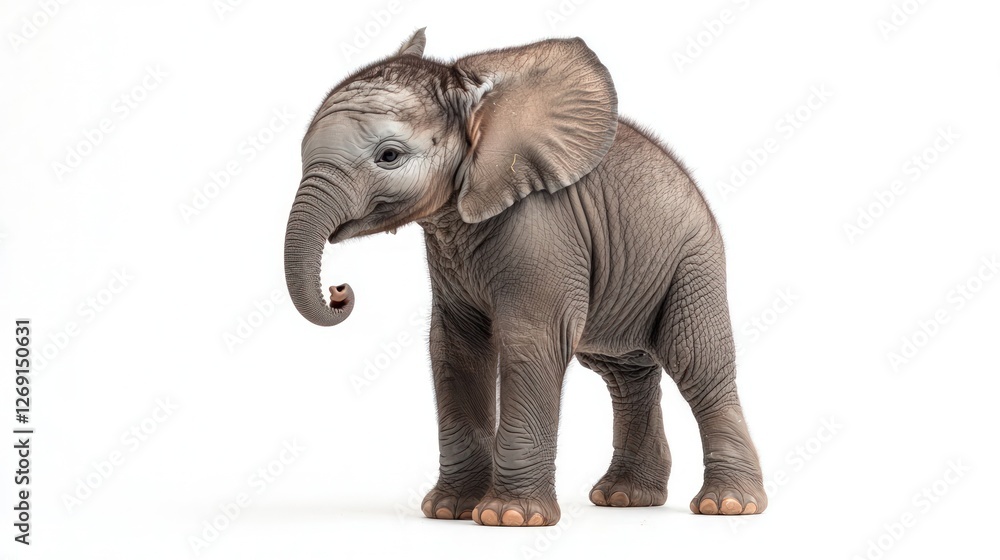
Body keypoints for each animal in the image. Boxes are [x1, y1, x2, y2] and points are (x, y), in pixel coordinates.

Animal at [283, 28, 766, 526]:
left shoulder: (544, 226)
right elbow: (454, 347)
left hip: (693, 261)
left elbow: (531, 338)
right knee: (623, 372)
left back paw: (728, 505)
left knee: (697, 362)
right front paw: (449, 510)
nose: (339, 290)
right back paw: (624, 498)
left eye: (389, 156)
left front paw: (509, 517)